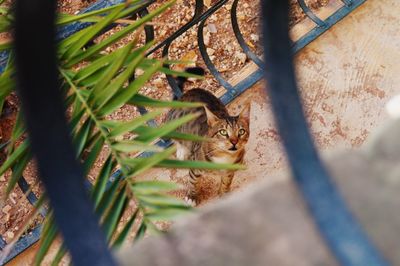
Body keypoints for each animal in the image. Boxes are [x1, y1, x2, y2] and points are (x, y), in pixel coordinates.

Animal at [166, 67, 250, 205]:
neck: (224, 158)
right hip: (172, 123)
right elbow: (193, 182)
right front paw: (192, 196)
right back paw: (182, 150)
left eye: (241, 132)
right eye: (223, 132)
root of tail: (188, 92)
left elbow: (226, 182)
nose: (234, 142)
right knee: (175, 138)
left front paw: (224, 193)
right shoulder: (195, 166)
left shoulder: (228, 172)